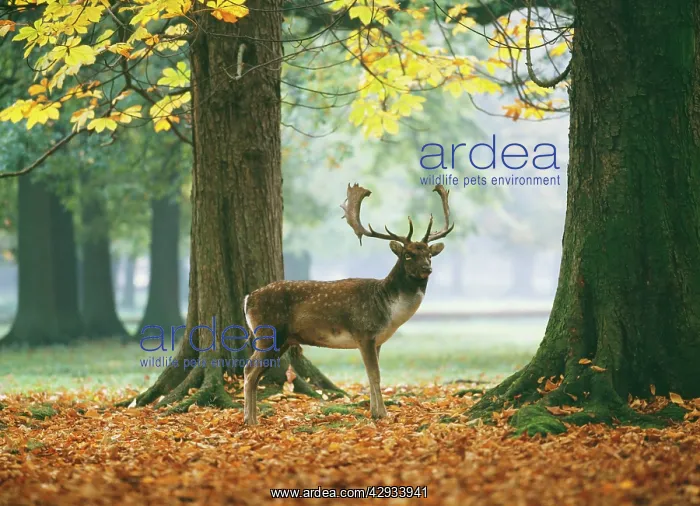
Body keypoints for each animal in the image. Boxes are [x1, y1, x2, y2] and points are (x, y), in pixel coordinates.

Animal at [242, 184, 454, 425]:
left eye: (429, 254)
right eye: (408, 255)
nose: (427, 268)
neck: (388, 311)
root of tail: (248, 298)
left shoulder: (377, 340)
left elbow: (372, 375)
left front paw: (375, 412)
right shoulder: (364, 332)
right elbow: (375, 375)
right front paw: (383, 414)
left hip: (282, 339)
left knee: (256, 372)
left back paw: (251, 417)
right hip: (268, 333)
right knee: (249, 369)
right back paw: (250, 420)